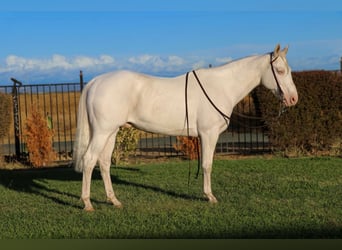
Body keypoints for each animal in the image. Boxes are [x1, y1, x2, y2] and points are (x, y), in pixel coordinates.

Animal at [73, 43, 298, 211]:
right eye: (280, 71)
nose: (293, 99)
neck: (220, 86)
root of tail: (96, 81)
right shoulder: (208, 134)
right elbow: (207, 164)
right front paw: (209, 196)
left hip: (111, 132)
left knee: (103, 163)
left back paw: (114, 200)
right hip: (102, 132)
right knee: (89, 160)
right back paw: (87, 203)